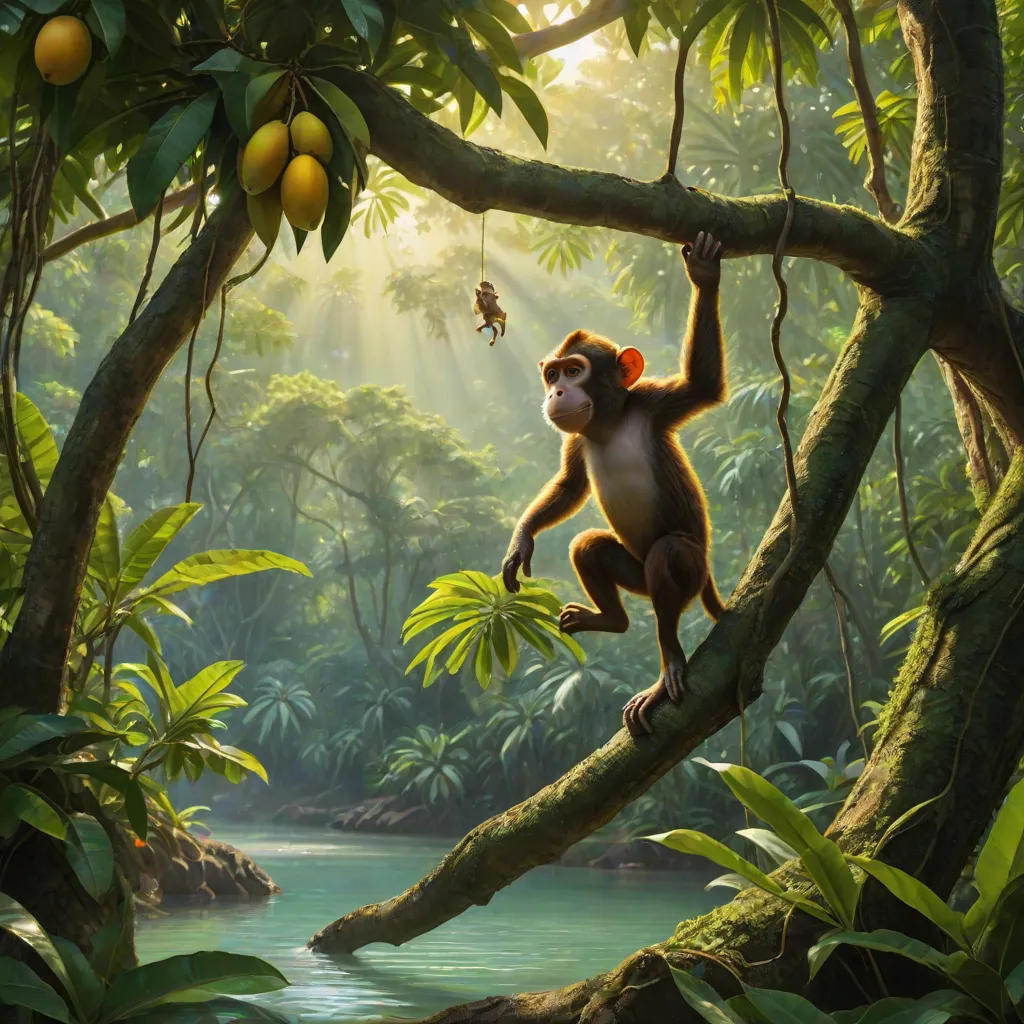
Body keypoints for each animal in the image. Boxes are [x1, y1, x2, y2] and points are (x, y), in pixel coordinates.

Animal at [501, 230, 727, 738]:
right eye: (552, 373)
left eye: (574, 370)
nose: (556, 391)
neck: (607, 424)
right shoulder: (576, 442)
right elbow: (569, 487)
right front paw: (521, 541)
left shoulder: (653, 403)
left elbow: (703, 385)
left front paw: (704, 276)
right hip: (634, 574)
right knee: (590, 546)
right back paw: (612, 619)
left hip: (690, 572)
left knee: (669, 555)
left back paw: (668, 667)